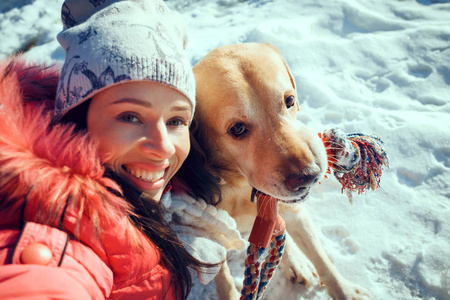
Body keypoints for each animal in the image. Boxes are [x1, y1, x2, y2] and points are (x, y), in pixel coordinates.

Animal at [190, 42, 370, 300]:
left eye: (290, 100)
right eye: (237, 129)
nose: (309, 176)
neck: (241, 186)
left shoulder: (295, 211)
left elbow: (323, 260)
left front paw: (345, 291)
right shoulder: (210, 236)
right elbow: (224, 280)